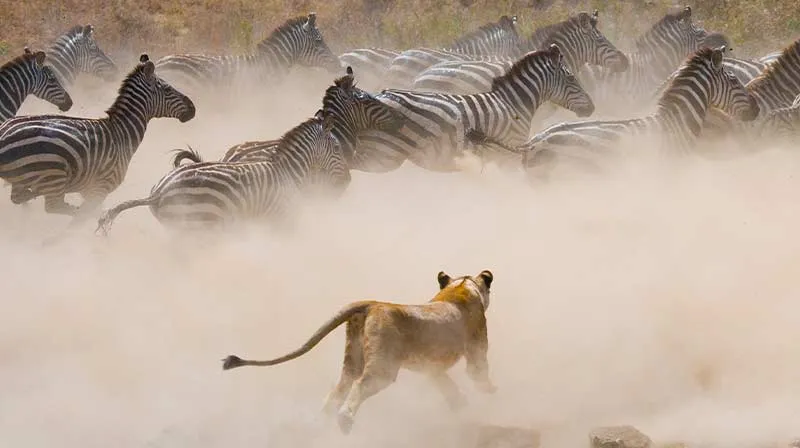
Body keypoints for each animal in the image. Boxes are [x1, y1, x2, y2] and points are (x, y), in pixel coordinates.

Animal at [221, 269, 497, 435]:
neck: (461, 287)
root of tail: (371, 304)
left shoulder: (431, 367)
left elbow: (446, 384)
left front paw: (460, 404)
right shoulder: (476, 348)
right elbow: (479, 374)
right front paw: (488, 393)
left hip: (352, 358)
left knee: (337, 390)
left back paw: (321, 423)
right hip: (383, 367)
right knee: (360, 384)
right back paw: (344, 421)